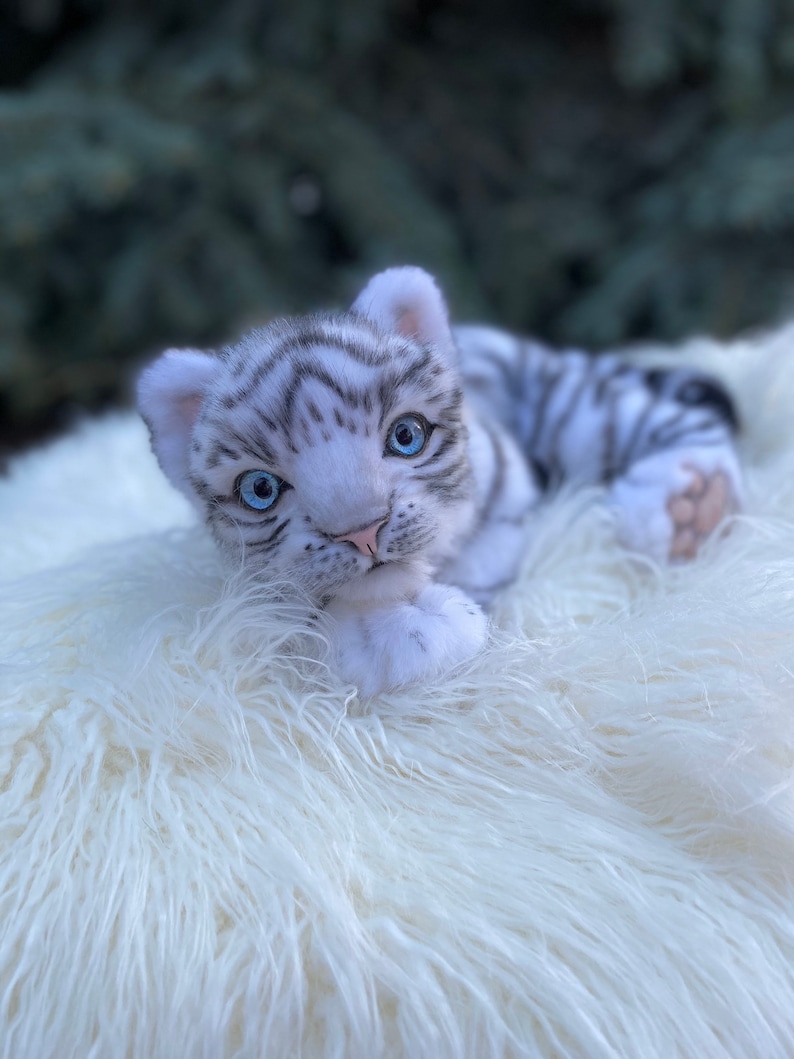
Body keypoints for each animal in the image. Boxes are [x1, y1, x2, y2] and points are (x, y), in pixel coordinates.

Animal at [137, 266, 741, 695]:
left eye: (406, 436)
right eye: (260, 490)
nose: (362, 531)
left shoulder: (508, 507)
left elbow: (484, 563)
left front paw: (412, 627)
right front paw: (389, 631)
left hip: (580, 414)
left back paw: (692, 503)